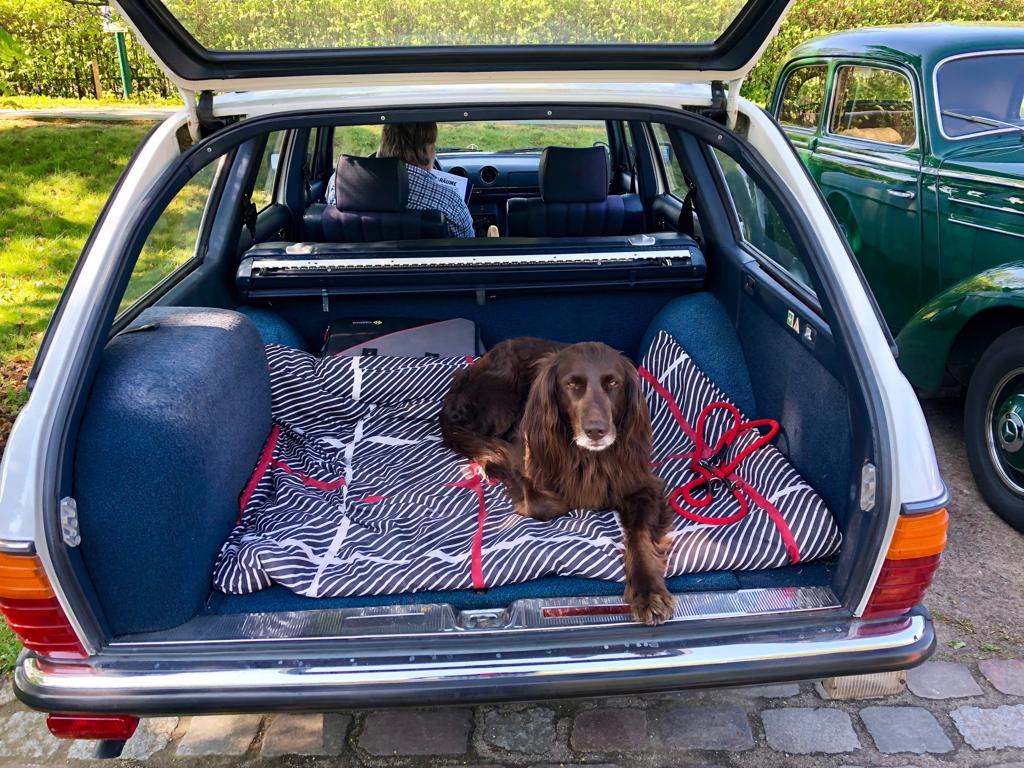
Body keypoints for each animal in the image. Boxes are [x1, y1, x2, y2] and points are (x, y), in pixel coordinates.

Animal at [440, 338, 675, 625]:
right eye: (572, 384)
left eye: (613, 383)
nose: (596, 431)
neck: (589, 457)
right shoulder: (522, 457)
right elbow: (542, 503)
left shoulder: (642, 484)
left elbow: (640, 536)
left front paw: (649, 592)